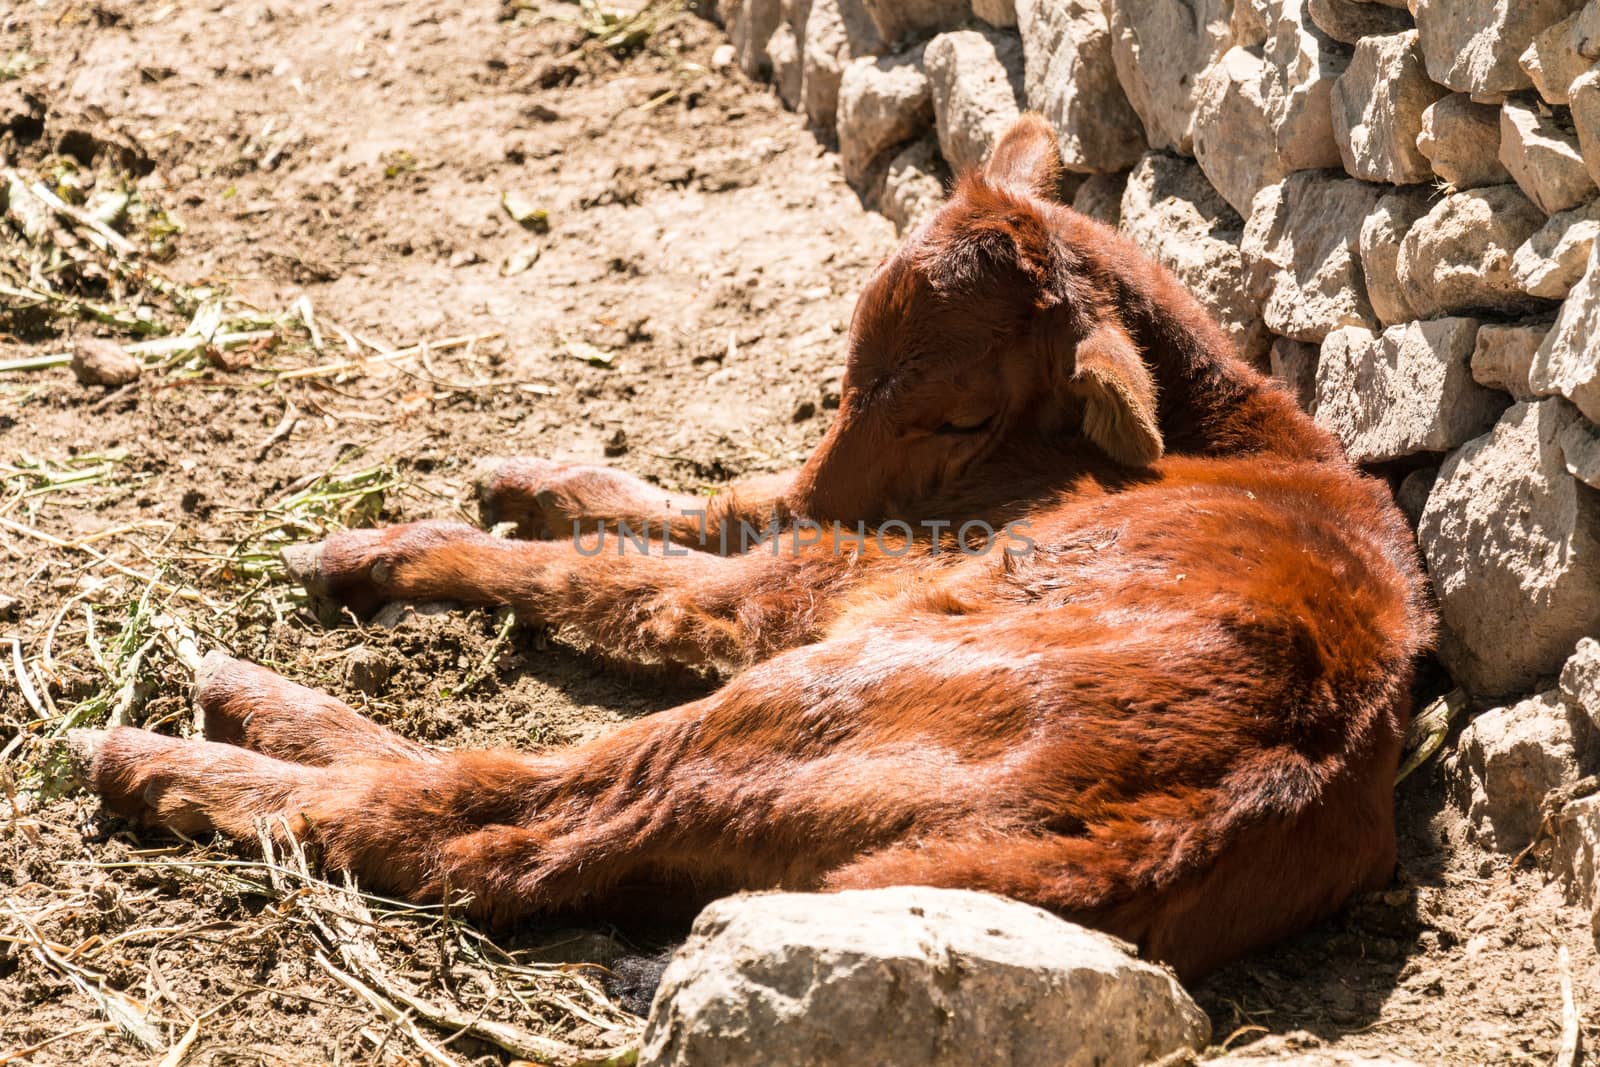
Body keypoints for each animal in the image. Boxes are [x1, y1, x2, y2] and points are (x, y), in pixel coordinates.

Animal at [75, 116, 1433, 985]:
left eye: (955, 411)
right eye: (846, 366)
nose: (835, 490)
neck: (1226, 432)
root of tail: (1240, 790)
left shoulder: (818, 576)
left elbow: (618, 577)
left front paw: (375, 546)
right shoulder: (808, 521)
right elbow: (708, 500)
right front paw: (523, 479)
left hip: (791, 699)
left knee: (496, 818)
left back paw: (187, 735)